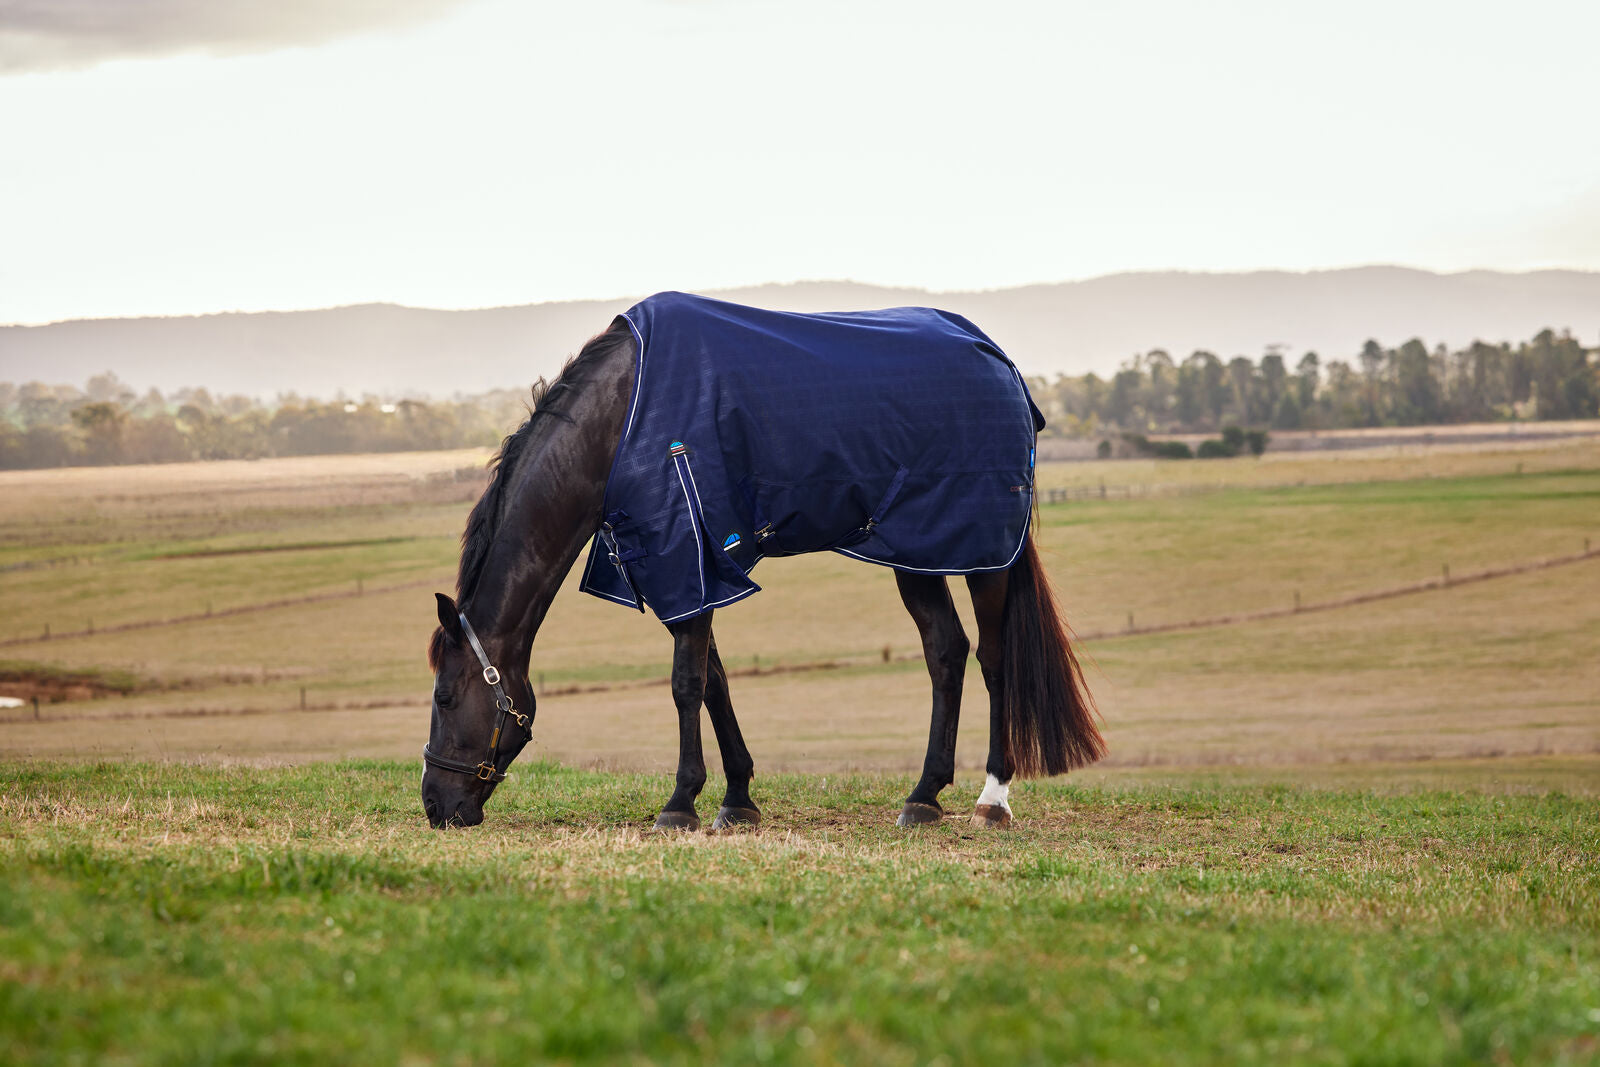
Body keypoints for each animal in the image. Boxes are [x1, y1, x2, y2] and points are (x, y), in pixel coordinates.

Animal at [421, 293, 1103, 831]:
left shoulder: (684, 556)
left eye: (447, 698)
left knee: (993, 657)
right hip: (919, 551)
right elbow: (713, 681)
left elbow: (685, 684)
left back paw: (993, 800)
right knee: (946, 652)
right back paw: (923, 797)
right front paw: (738, 800)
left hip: (983, 554)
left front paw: (679, 804)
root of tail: (999, 362)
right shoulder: (693, 571)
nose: (435, 804)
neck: (621, 421)